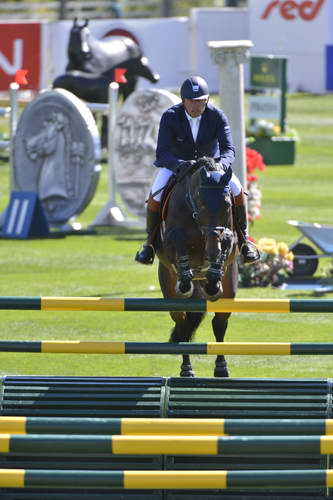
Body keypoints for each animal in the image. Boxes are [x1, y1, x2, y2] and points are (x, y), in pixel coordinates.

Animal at [154, 158, 237, 376]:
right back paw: (187, 370)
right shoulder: (172, 244)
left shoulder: (229, 238)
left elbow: (226, 243)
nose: (212, 247)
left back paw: (221, 367)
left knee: (219, 324)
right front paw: (185, 283)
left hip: (230, 291)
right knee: (183, 325)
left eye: (227, 204)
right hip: (169, 289)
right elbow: (179, 242)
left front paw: (213, 281)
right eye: (202, 203)